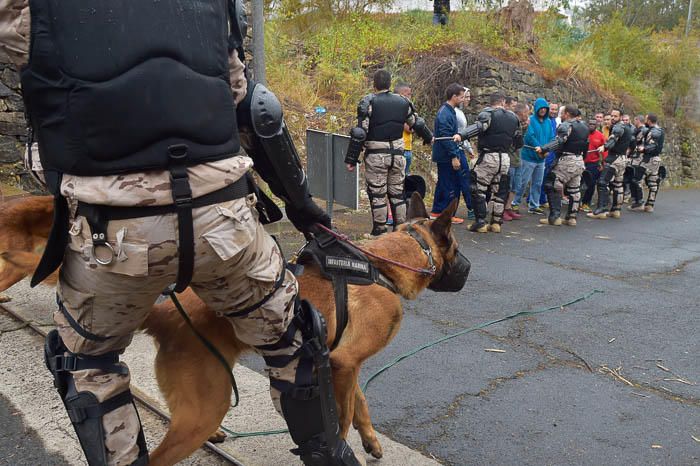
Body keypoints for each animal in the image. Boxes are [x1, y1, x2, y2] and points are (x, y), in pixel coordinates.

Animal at [0, 191, 462, 464]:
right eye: (457, 250)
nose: (466, 274)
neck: (386, 266)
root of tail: (169, 312)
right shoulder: (345, 363)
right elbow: (344, 416)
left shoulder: (340, 363)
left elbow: (361, 406)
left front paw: (371, 442)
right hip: (209, 403)